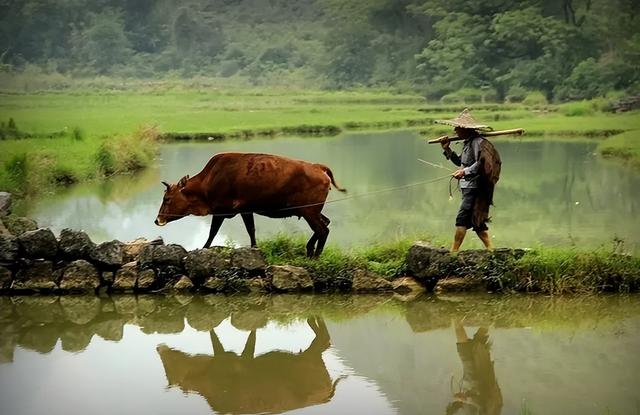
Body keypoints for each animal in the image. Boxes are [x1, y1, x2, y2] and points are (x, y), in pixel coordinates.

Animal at [154, 153, 344, 256]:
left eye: (167, 198)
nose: (157, 220)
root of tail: (319, 167)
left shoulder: (221, 210)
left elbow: (212, 232)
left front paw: (204, 248)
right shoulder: (246, 210)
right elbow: (251, 230)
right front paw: (254, 248)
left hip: (309, 211)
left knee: (323, 230)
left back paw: (315, 256)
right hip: (311, 211)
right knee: (325, 223)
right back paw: (310, 249)